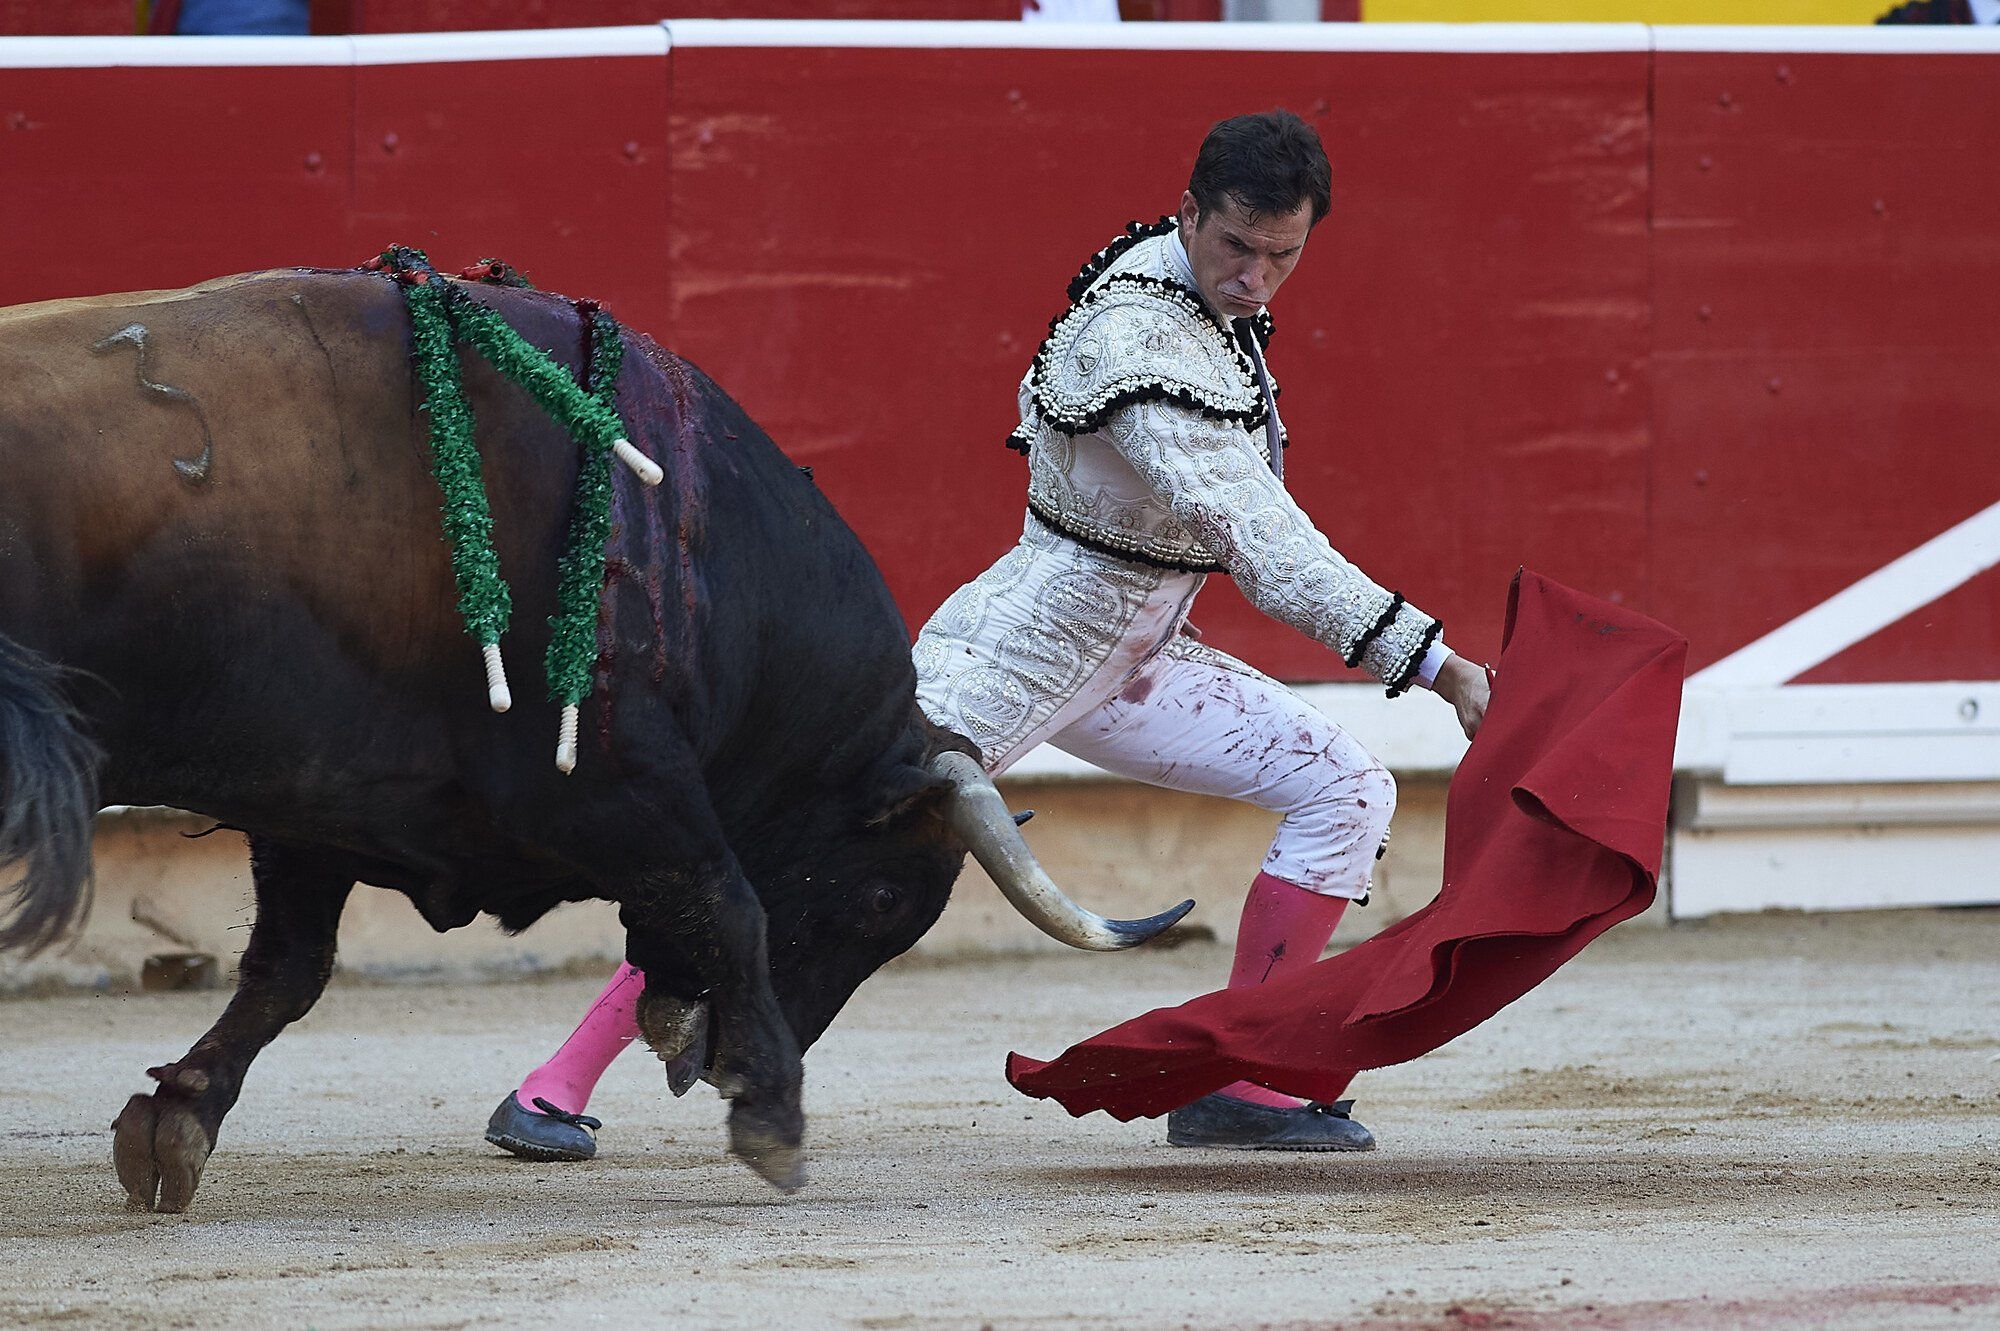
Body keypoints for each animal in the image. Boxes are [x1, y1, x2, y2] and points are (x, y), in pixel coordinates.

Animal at [0, 269, 1190, 1212]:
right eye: (883, 900)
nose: (711, 1060)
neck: (691, 547)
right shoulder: (613, 783)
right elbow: (732, 901)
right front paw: (773, 1118)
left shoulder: (316, 803)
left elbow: (285, 970)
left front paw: (175, 1122)